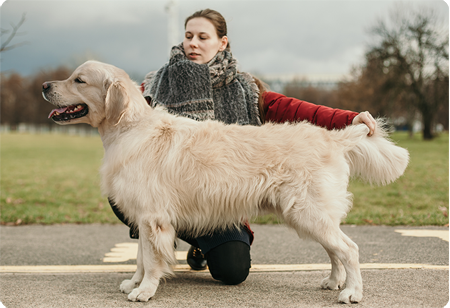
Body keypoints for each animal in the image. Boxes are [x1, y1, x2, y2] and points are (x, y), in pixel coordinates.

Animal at [43, 60, 412, 304]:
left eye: (78, 80)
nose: (45, 86)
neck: (129, 129)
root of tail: (332, 138)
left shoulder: (152, 216)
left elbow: (151, 259)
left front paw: (145, 290)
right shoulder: (143, 215)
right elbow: (139, 256)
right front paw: (133, 282)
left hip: (309, 212)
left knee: (349, 249)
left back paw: (352, 292)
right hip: (309, 216)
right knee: (335, 250)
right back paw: (334, 282)